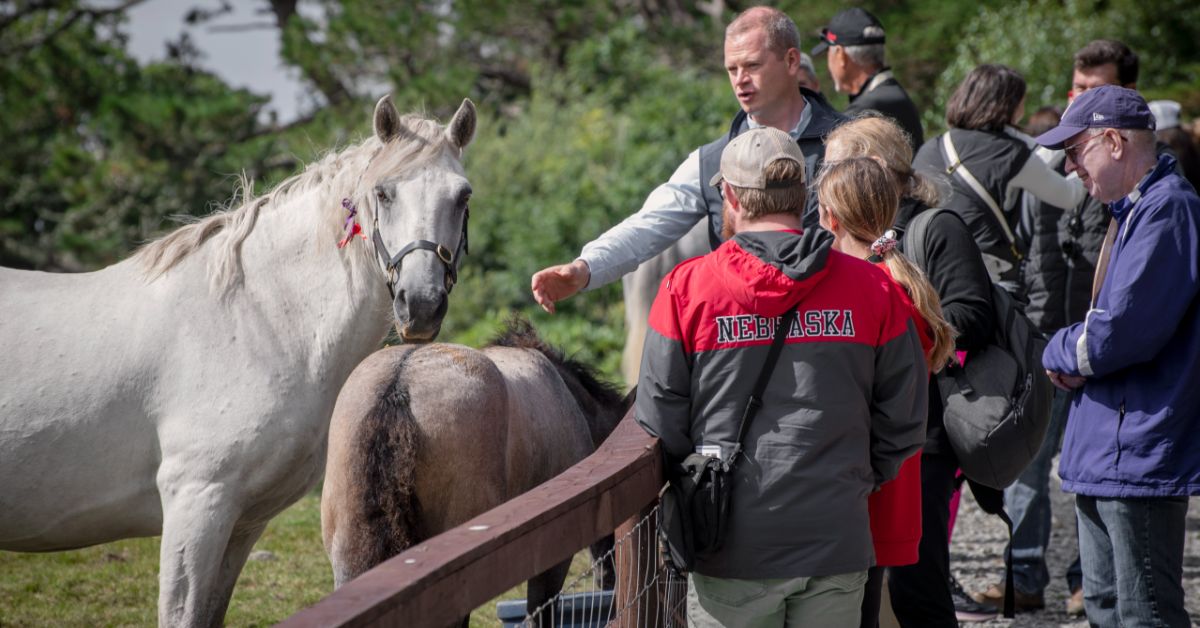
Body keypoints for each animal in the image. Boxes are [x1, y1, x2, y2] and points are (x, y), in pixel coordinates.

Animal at [0, 94, 477, 628]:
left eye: (463, 196)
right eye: (384, 193)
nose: (422, 305)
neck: (255, 319)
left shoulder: (242, 522)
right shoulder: (197, 502)